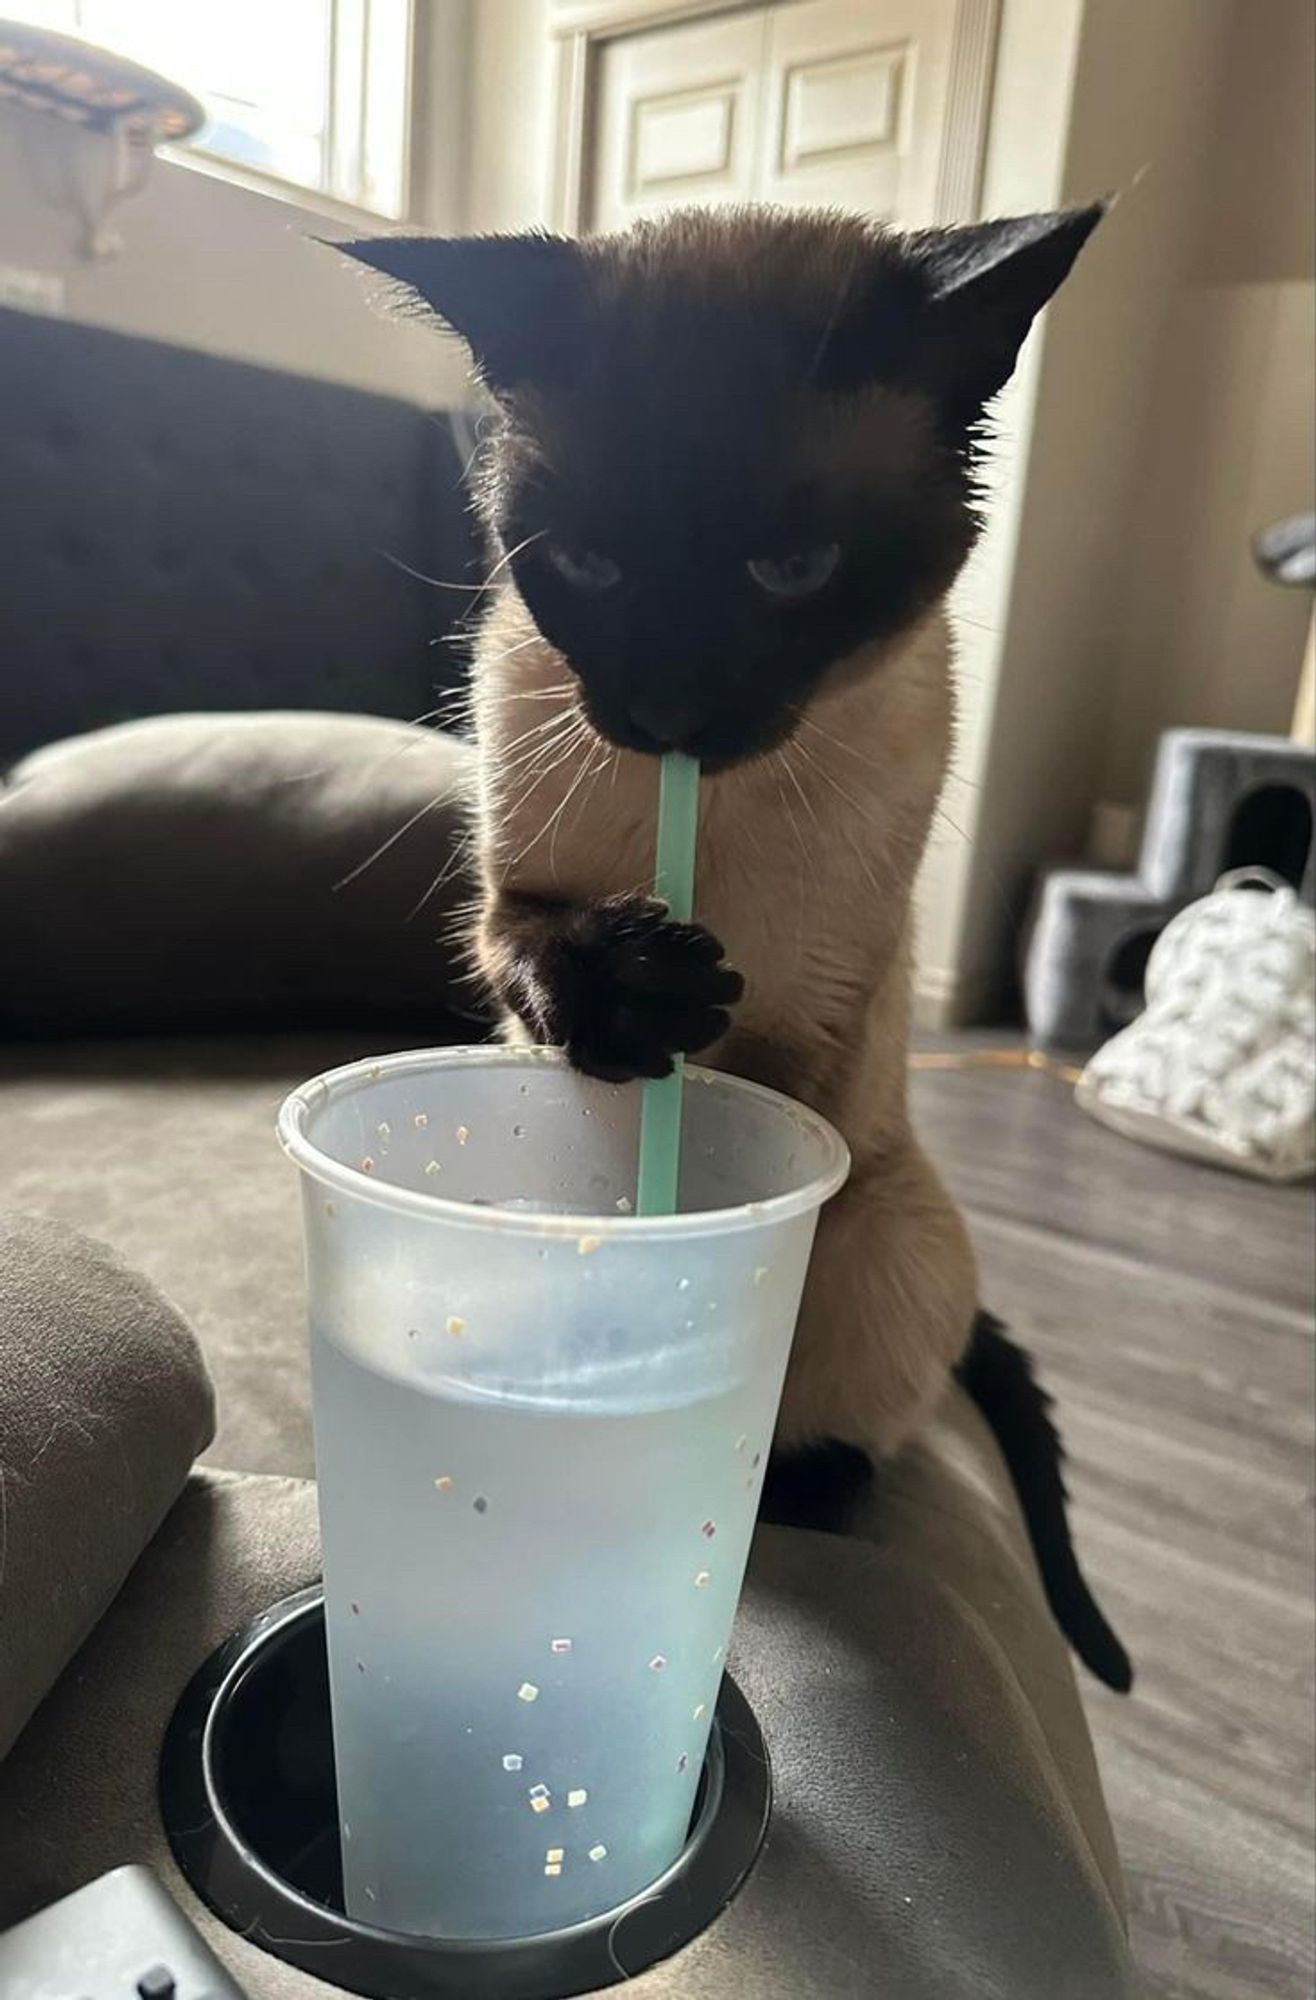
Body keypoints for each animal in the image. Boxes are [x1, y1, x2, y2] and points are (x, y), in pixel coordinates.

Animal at [346, 207, 1128, 1688]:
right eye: (590, 567)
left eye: (792, 570)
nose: (667, 712)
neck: (709, 812)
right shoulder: (513, 903)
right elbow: (545, 959)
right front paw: (639, 991)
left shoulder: (812, 1018)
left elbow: (741, 1127)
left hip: (885, 1228)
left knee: (863, 1423)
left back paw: (793, 1486)